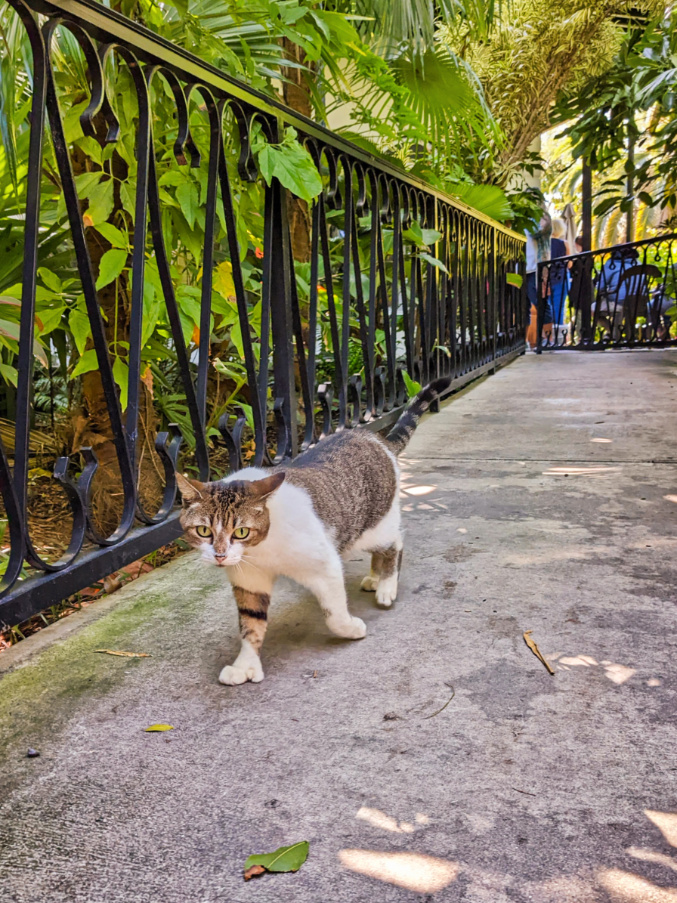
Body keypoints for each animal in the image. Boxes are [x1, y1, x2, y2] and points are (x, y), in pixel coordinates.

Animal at [178, 376, 448, 684]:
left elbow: (334, 614)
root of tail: (377, 439)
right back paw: (374, 577)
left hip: (373, 526)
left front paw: (351, 628)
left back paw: (386, 585)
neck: (263, 549)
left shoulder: (325, 564)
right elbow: (251, 624)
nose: (220, 555)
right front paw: (245, 664)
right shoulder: (249, 580)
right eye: (203, 530)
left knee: (395, 542)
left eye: (241, 532)